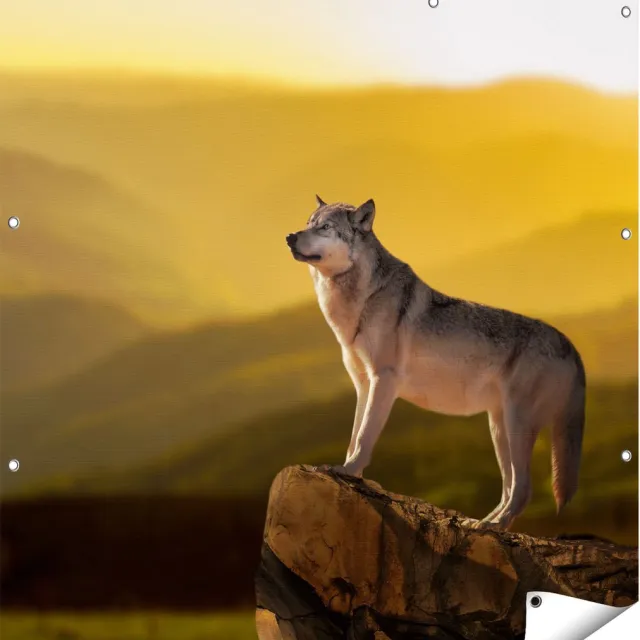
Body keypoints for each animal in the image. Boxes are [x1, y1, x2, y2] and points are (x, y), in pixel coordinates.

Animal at [286, 196, 586, 530]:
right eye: (308, 223)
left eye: (325, 227)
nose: (290, 237)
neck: (361, 299)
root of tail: (570, 344)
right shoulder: (363, 386)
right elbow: (354, 435)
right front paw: (351, 474)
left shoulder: (384, 380)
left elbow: (364, 437)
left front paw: (349, 471)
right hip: (499, 428)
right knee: (509, 487)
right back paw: (481, 523)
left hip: (516, 424)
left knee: (523, 488)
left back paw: (492, 527)